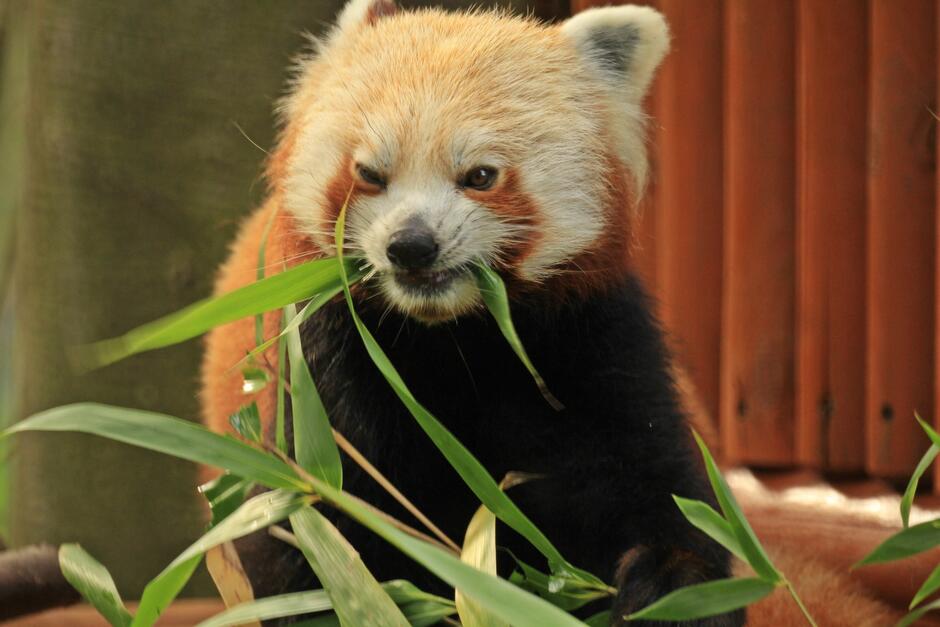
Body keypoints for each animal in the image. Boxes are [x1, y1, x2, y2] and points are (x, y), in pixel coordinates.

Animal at [200, 2, 897, 625]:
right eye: (369, 173)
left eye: (481, 175)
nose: (411, 245)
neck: (454, 342)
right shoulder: (329, 377)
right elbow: (303, 539)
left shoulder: (594, 348)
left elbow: (666, 502)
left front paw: (665, 596)